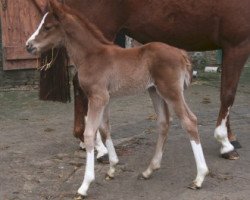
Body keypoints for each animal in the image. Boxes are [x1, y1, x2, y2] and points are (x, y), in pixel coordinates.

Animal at [25, 0, 209, 198]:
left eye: (47, 27)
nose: (28, 45)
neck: (91, 55)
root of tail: (182, 53)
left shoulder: (97, 97)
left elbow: (89, 134)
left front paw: (85, 185)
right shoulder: (105, 98)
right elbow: (105, 128)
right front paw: (112, 167)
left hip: (171, 91)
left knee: (189, 121)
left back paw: (199, 177)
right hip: (155, 91)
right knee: (164, 122)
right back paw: (149, 170)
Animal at [39, 0, 250, 159]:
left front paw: (229, 138)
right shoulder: (237, 45)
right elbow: (228, 94)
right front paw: (225, 143)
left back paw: (85, 141)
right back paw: (99, 148)